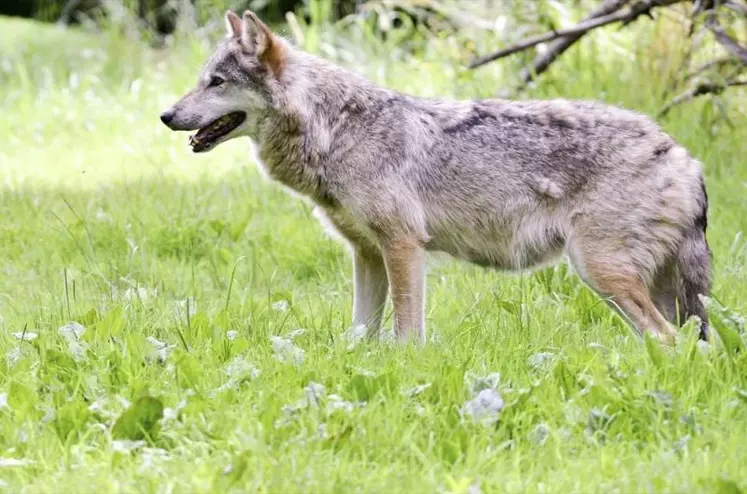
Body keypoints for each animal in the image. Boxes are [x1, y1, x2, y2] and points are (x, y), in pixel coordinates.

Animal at [159, 9, 712, 346]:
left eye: (216, 82)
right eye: (201, 80)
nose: (165, 115)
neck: (335, 130)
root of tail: (684, 155)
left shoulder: (403, 246)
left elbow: (407, 331)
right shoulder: (366, 254)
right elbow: (360, 332)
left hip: (601, 273)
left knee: (667, 339)